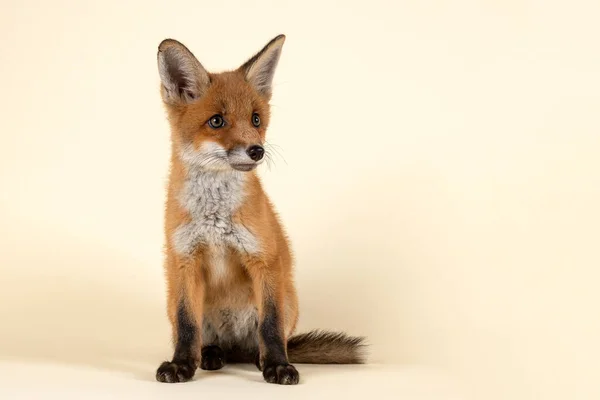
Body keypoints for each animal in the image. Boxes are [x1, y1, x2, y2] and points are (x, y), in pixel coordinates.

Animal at [154, 34, 366, 384]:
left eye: (255, 119)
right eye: (216, 121)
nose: (257, 151)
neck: (216, 218)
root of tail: (235, 346)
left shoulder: (264, 259)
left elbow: (270, 326)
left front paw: (278, 366)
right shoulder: (184, 263)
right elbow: (187, 327)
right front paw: (181, 365)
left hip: (288, 299)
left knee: (265, 340)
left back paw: (259, 359)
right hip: (174, 303)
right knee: (208, 341)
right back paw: (210, 355)